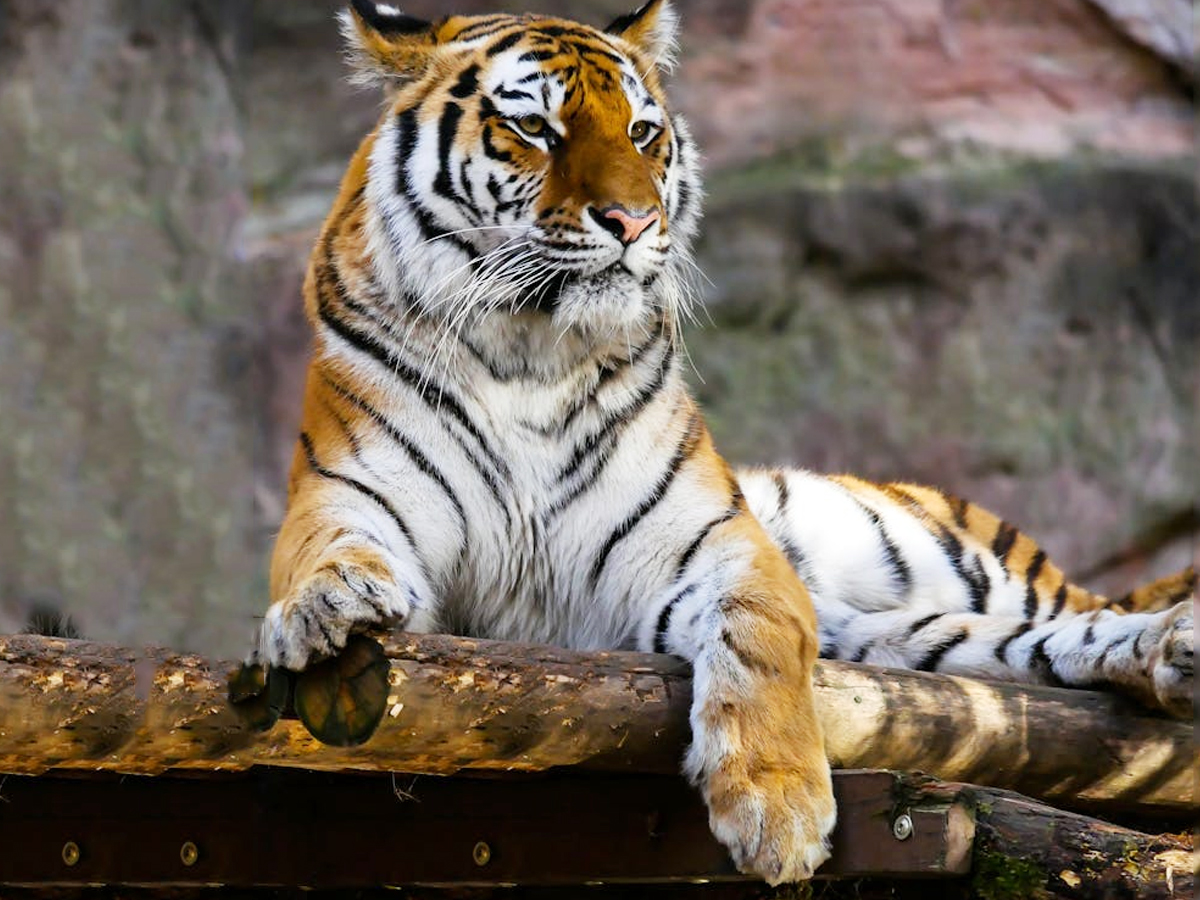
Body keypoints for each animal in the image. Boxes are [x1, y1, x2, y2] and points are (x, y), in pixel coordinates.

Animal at [257, 0, 1196, 884]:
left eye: (642, 133)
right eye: (536, 129)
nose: (632, 221)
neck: (529, 353)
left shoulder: (721, 545)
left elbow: (759, 641)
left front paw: (778, 811)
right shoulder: (347, 492)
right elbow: (325, 551)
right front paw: (325, 606)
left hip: (949, 558)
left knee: (1085, 611)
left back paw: (1171, 638)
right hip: (912, 635)